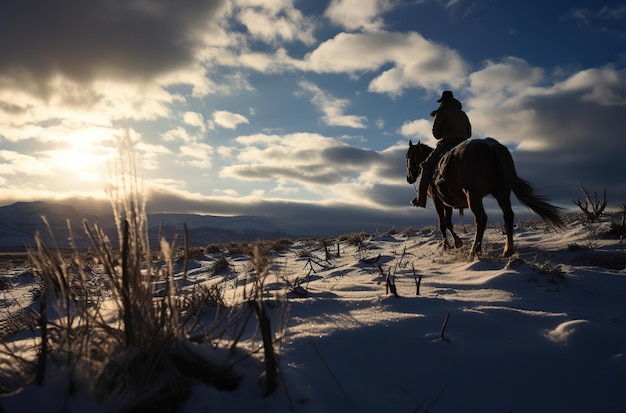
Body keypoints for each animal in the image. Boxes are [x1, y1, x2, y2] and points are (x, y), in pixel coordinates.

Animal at [404, 137, 564, 256]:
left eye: (407, 157)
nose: (408, 178)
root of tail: (493, 146)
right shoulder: (447, 203)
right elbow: (448, 223)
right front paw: (457, 243)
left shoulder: (438, 201)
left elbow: (442, 224)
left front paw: (447, 246)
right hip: (502, 193)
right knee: (508, 215)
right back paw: (508, 250)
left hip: (473, 196)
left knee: (481, 218)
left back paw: (474, 251)